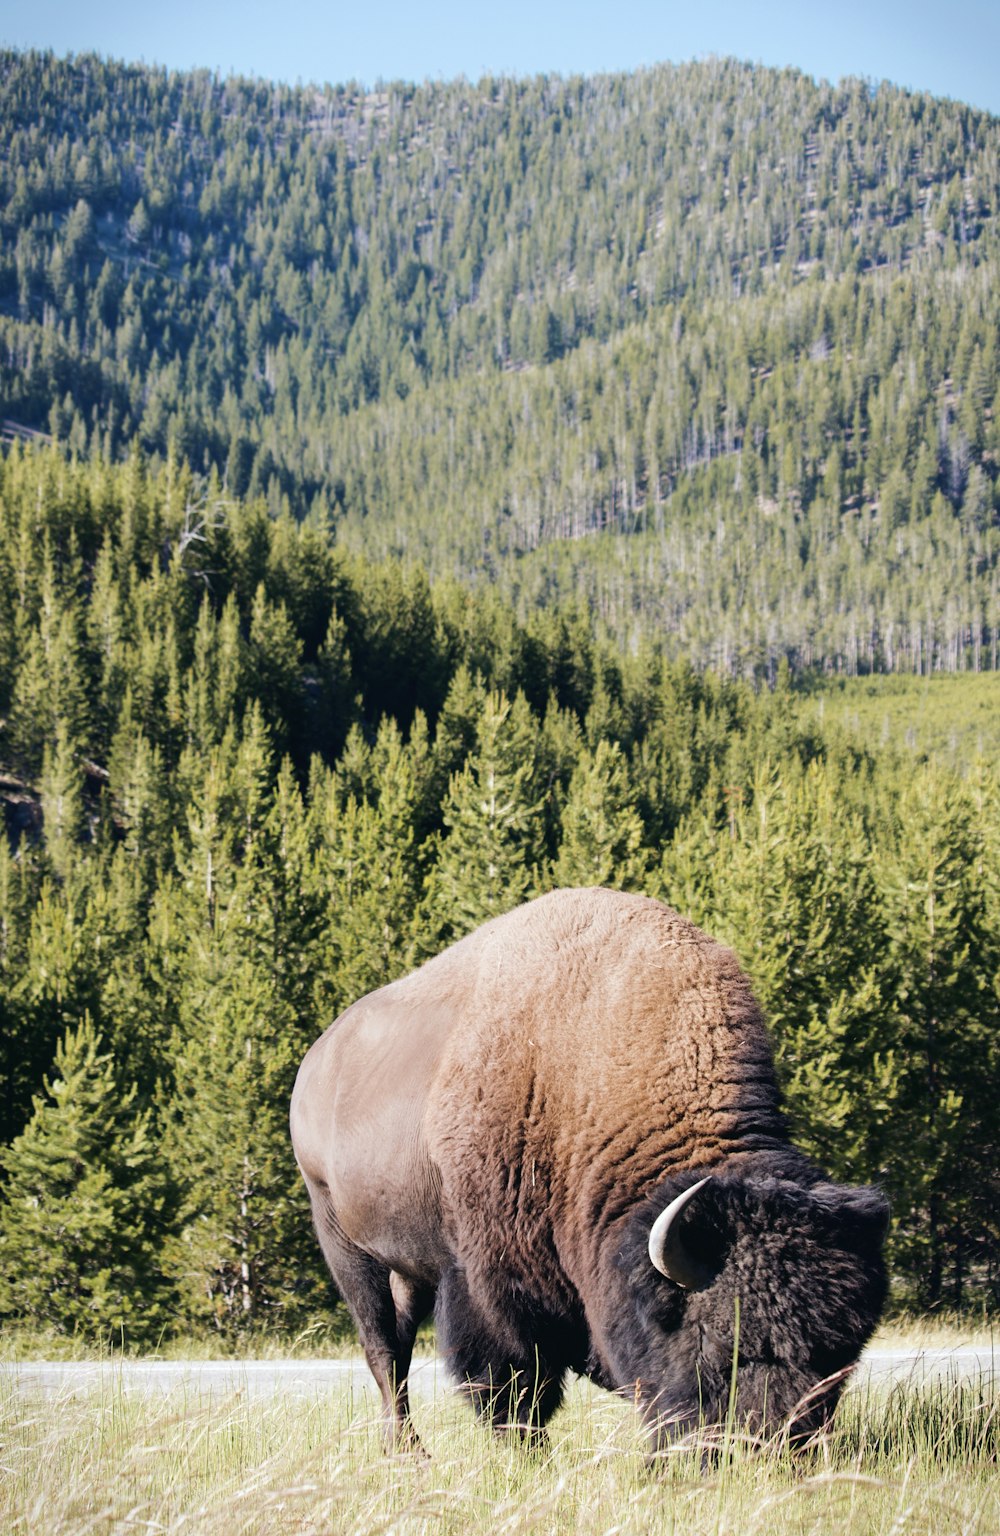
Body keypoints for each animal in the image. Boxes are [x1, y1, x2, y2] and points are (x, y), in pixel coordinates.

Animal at [291, 890, 890, 1449]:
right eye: (724, 1342)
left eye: (844, 1355)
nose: (778, 1445)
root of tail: (315, 1064)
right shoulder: (487, 1285)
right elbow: (516, 1390)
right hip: (344, 1243)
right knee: (384, 1350)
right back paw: (411, 1454)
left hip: (407, 1266)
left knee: (398, 1344)